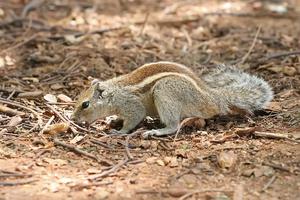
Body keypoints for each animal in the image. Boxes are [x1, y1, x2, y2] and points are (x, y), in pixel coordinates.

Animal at [71, 61, 274, 138]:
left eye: (85, 104)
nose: (73, 119)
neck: (114, 93)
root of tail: (212, 99)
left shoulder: (131, 105)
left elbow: (134, 118)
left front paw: (120, 132)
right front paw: (114, 120)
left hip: (165, 91)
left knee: (174, 125)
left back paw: (156, 131)